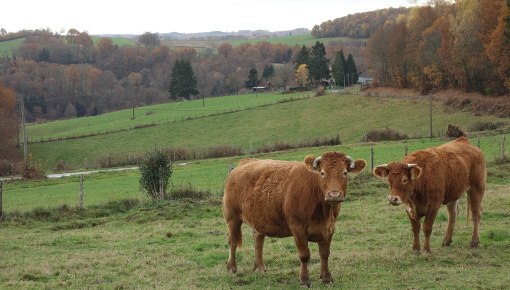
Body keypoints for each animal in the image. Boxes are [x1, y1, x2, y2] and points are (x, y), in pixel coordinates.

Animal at [221, 153, 364, 286]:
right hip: (232, 217)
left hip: (259, 219)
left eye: (344, 173)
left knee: (258, 240)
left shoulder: (329, 228)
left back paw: (259, 267)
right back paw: (232, 268)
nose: (334, 195)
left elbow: (325, 254)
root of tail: (245, 162)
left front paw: (327, 278)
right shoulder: (298, 228)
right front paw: (304, 280)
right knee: (232, 241)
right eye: (323, 173)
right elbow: (304, 255)